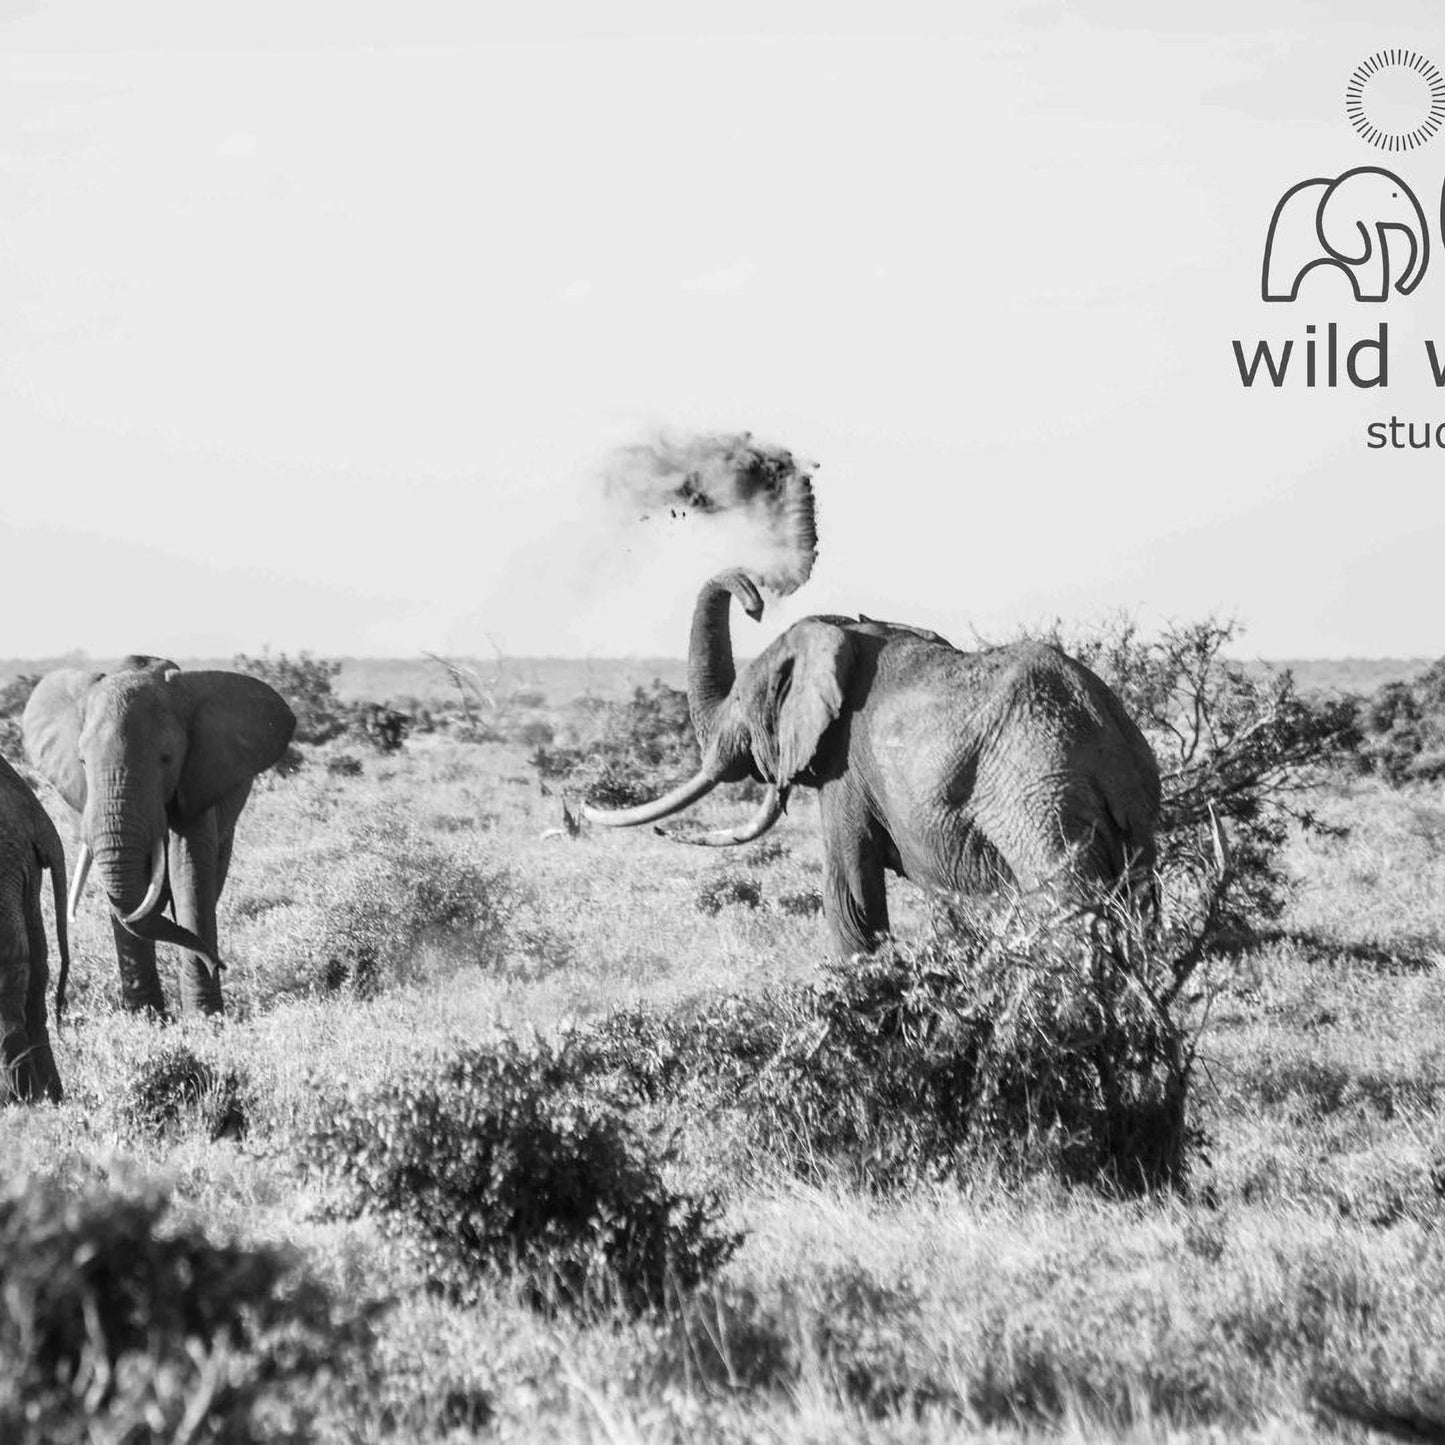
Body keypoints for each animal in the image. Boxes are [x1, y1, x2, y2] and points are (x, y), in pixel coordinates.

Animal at [22, 657, 295, 1018]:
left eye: (166, 758)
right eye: (82, 761)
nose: (220, 964)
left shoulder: (197, 778)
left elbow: (189, 872)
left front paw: (205, 1018)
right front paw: (147, 1018)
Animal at [586, 570, 1161, 959]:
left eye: (744, 701)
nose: (755, 601)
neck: (846, 631)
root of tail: (1104, 741)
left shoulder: (847, 766)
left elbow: (850, 899)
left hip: (1038, 802)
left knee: (1065, 909)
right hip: (1128, 814)